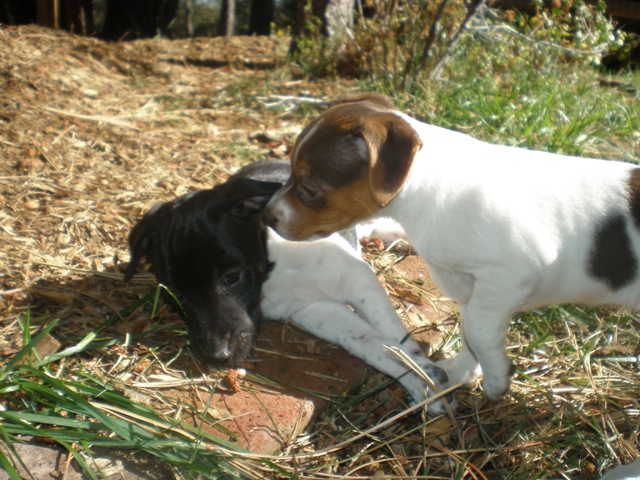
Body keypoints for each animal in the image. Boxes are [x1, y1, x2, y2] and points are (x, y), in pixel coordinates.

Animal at [266, 93, 640, 402]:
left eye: (310, 188)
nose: (266, 216)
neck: (425, 192)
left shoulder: (509, 276)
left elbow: (477, 330)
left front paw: (496, 381)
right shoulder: (472, 287)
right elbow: (470, 332)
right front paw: (462, 372)